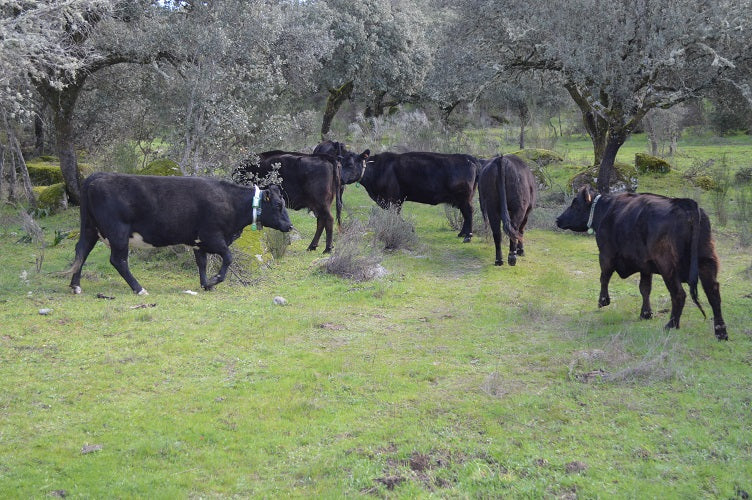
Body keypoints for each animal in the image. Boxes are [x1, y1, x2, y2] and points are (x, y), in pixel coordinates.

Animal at [69, 172, 293, 295]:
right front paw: (215, 280)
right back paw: (139, 289)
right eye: (279, 205)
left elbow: (202, 263)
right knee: (118, 261)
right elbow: (228, 257)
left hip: (90, 228)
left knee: (82, 250)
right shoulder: (213, 236)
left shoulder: (199, 242)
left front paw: (206, 285)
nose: (290, 226)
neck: (230, 201)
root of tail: (98, 175)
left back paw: (75, 286)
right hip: (118, 233)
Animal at [556, 185, 728, 340]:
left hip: (668, 266)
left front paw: (603, 301)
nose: (558, 219)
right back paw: (720, 332)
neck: (605, 210)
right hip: (706, 261)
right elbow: (645, 288)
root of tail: (685, 204)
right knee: (713, 293)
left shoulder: (605, 254)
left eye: (575, 204)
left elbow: (604, 277)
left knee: (679, 294)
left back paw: (671, 325)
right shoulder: (645, 266)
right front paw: (646, 313)